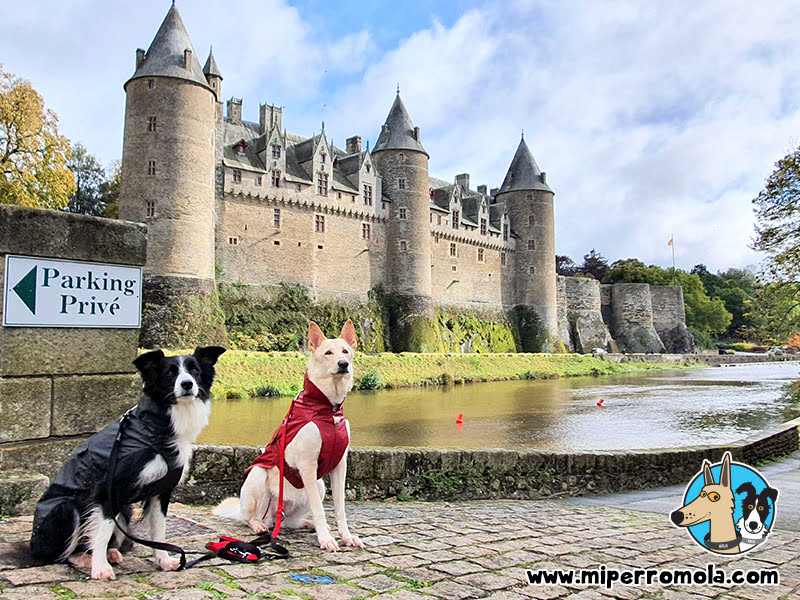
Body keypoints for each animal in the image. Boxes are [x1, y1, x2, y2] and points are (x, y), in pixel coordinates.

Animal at [30, 350, 225, 580]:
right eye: (170, 372)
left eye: (194, 370)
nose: (187, 384)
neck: (156, 429)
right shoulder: (109, 489)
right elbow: (103, 532)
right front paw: (100, 568)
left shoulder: (162, 490)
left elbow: (159, 529)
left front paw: (164, 561)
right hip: (66, 510)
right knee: (64, 553)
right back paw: (85, 559)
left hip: (125, 509)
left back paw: (110, 553)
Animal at [212, 322, 362, 552]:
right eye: (328, 353)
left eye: (345, 351)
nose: (343, 364)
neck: (329, 411)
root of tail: (276, 518)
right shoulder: (308, 466)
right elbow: (319, 510)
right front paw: (326, 539)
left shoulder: (339, 466)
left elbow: (340, 509)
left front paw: (346, 536)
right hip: (259, 475)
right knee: (251, 518)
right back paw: (259, 526)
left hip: (318, 485)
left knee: (291, 522)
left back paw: (306, 524)